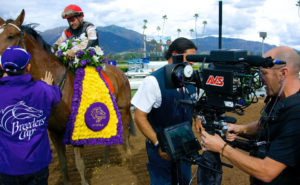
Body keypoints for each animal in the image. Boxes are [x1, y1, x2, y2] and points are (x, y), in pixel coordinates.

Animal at [0, 10, 134, 185]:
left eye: (11, 35)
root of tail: (121, 73)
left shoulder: (75, 130)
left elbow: (79, 163)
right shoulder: (54, 132)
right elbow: (63, 163)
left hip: (124, 108)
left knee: (125, 131)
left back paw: (127, 157)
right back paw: (106, 162)